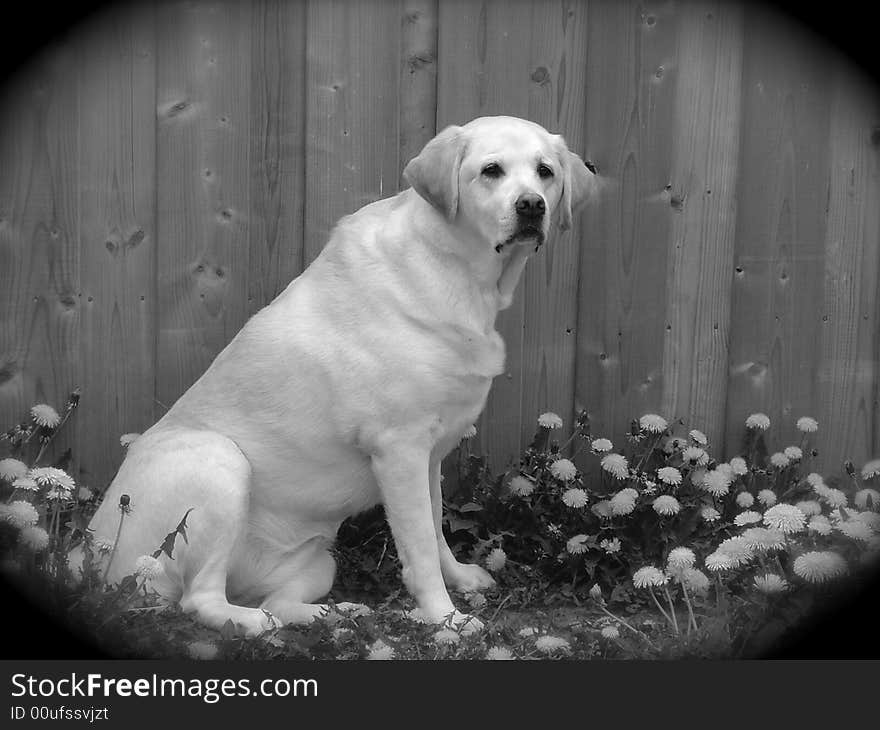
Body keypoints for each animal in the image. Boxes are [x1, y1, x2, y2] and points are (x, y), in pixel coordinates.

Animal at [77, 112, 600, 632]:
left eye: (545, 172)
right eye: (492, 170)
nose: (531, 206)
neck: (458, 271)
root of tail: (90, 557)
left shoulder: (430, 454)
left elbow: (435, 529)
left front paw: (459, 580)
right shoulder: (399, 448)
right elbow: (420, 546)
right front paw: (444, 617)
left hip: (317, 562)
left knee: (277, 601)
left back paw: (336, 614)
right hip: (217, 463)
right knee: (201, 600)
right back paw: (258, 623)